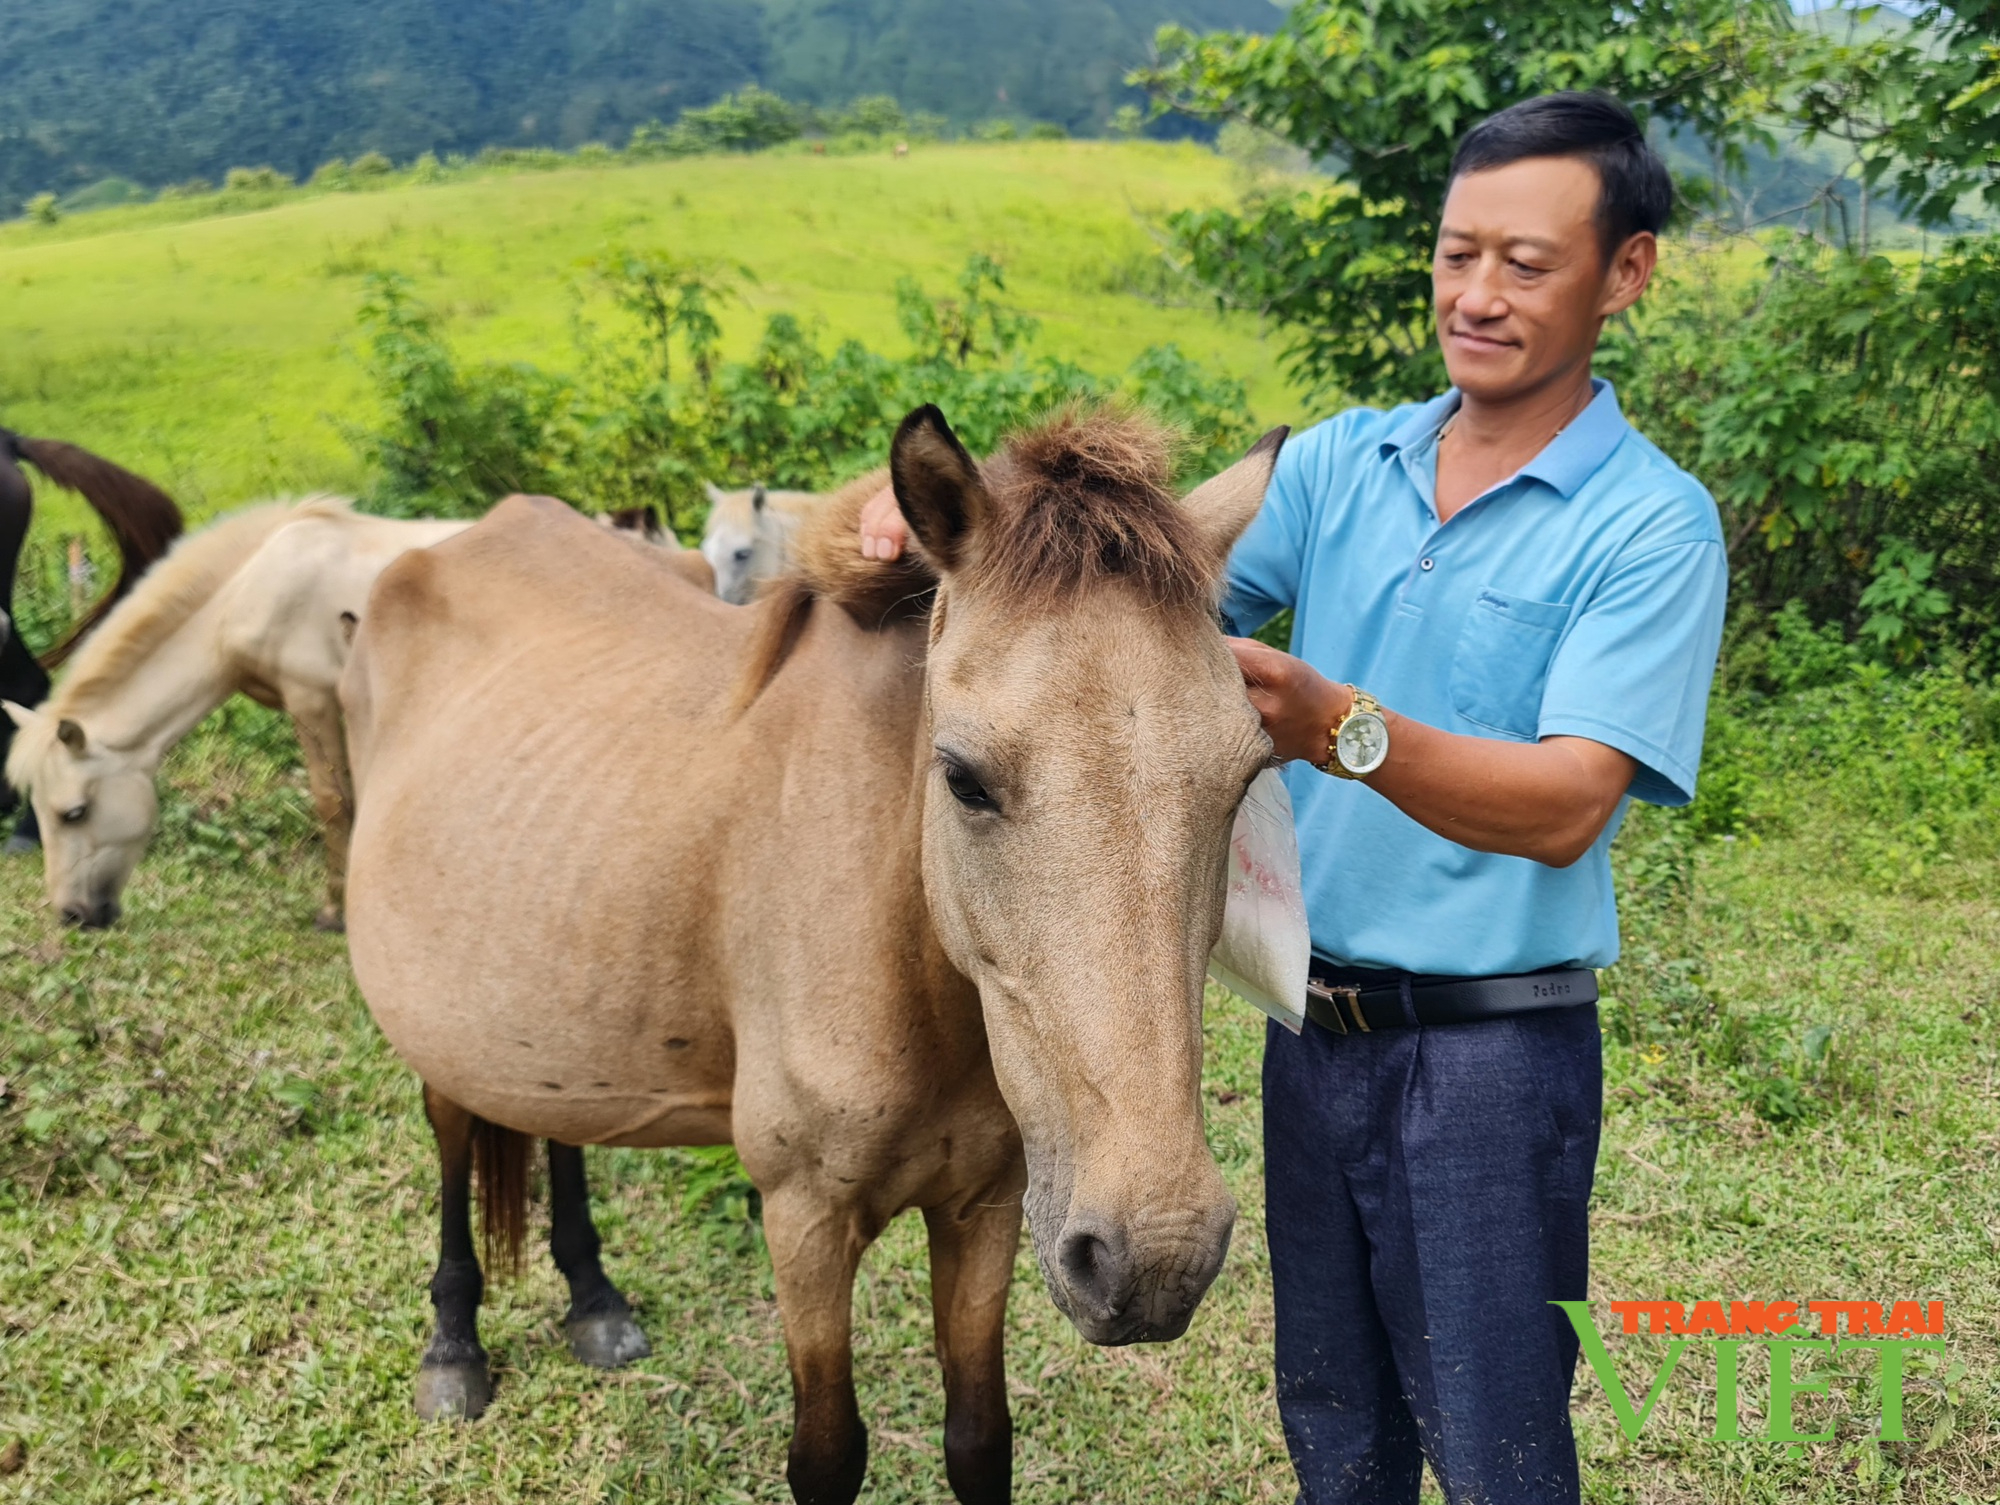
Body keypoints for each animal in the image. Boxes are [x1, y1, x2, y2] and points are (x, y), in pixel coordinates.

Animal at [5, 496, 464, 928]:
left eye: (74, 813)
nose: (72, 915)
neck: (250, 594)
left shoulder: (311, 700)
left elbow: (333, 803)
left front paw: (336, 913)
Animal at [340, 406, 1280, 1496]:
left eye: (1245, 774)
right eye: (962, 776)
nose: (1156, 1251)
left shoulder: (986, 1207)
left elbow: (978, 1436)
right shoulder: (804, 1222)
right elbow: (827, 1453)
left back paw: (594, 1298)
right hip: (439, 1020)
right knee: (453, 1128)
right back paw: (453, 1345)